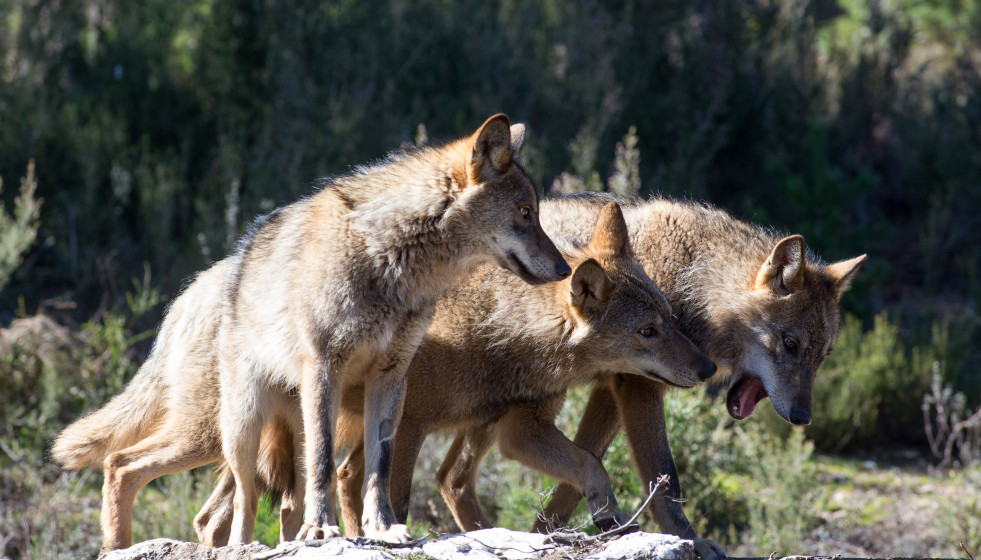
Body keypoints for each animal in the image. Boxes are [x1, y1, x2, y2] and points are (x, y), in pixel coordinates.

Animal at [52, 114, 571, 552]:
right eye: (525, 212)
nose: (567, 269)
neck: (390, 260)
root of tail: (190, 293)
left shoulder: (391, 379)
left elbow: (379, 468)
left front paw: (383, 528)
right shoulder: (325, 368)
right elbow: (325, 464)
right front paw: (322, 530)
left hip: (272, 430)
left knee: (254, 504)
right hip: (231, 430)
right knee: (153, 476)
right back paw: (150, 547)